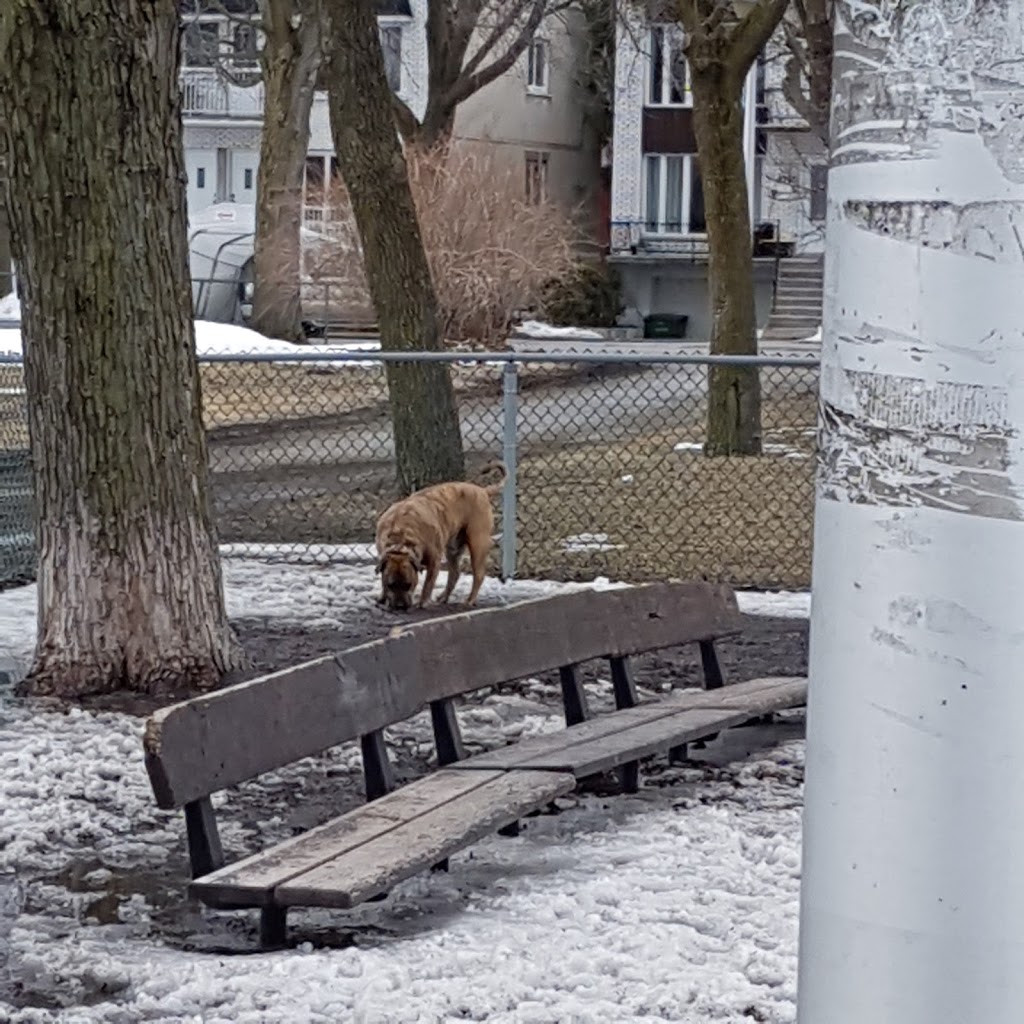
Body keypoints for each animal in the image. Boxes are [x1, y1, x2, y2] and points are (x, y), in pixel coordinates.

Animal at [374, 462, 505, 610]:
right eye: (390, 585)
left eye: (409, 584)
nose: (400, 606)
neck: (400, 539)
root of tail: (483, 491)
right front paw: (382, 597)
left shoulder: (434, 561)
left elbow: (428, 584)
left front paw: (423, 602)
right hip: (453, 548)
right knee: (454, 574)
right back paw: (444, 597)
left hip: (478, 544)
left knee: (478, 575)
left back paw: (470, 600)